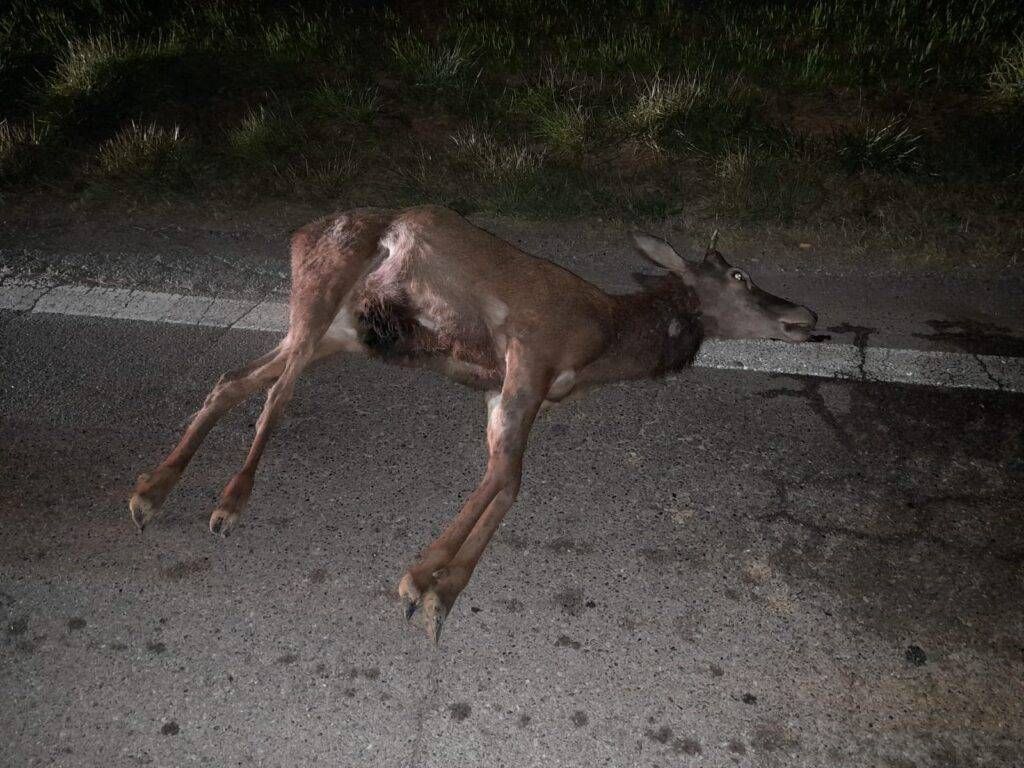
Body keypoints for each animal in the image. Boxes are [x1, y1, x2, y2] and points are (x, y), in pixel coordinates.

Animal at [129, 205, 817, 642]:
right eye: (740, 275)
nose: (807, 315)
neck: (602, 343)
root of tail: (299, 235)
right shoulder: (529, 355)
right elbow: (506, 478)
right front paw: (420, 577)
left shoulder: (505, 389)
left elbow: (505, 479)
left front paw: (443, 590)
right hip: (323, 293)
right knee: (277, 393)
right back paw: (227, 502)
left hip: (342, 332)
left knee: (236, 379)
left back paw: (152, 491)